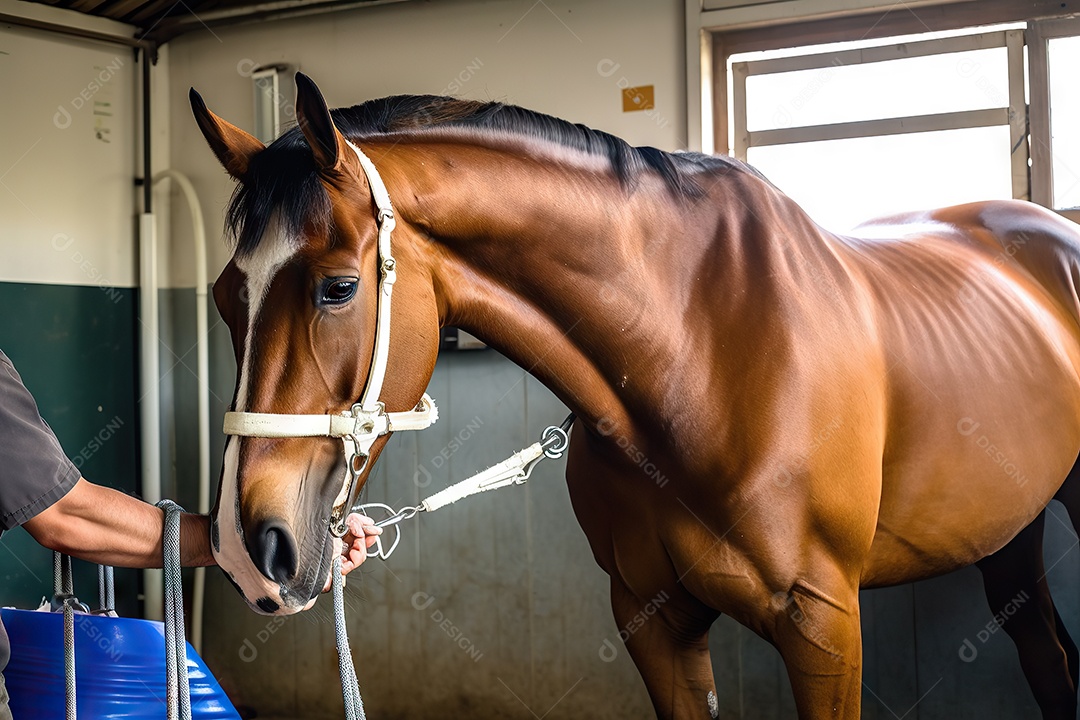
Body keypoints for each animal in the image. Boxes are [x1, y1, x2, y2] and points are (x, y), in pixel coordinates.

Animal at [190, 72, 1080, 719]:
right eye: (225, 298)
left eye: (338, 288)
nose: (240, 545)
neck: (697, 357)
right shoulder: (654, 623)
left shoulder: (824, 623)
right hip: (1006, 529)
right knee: (1048, 653)